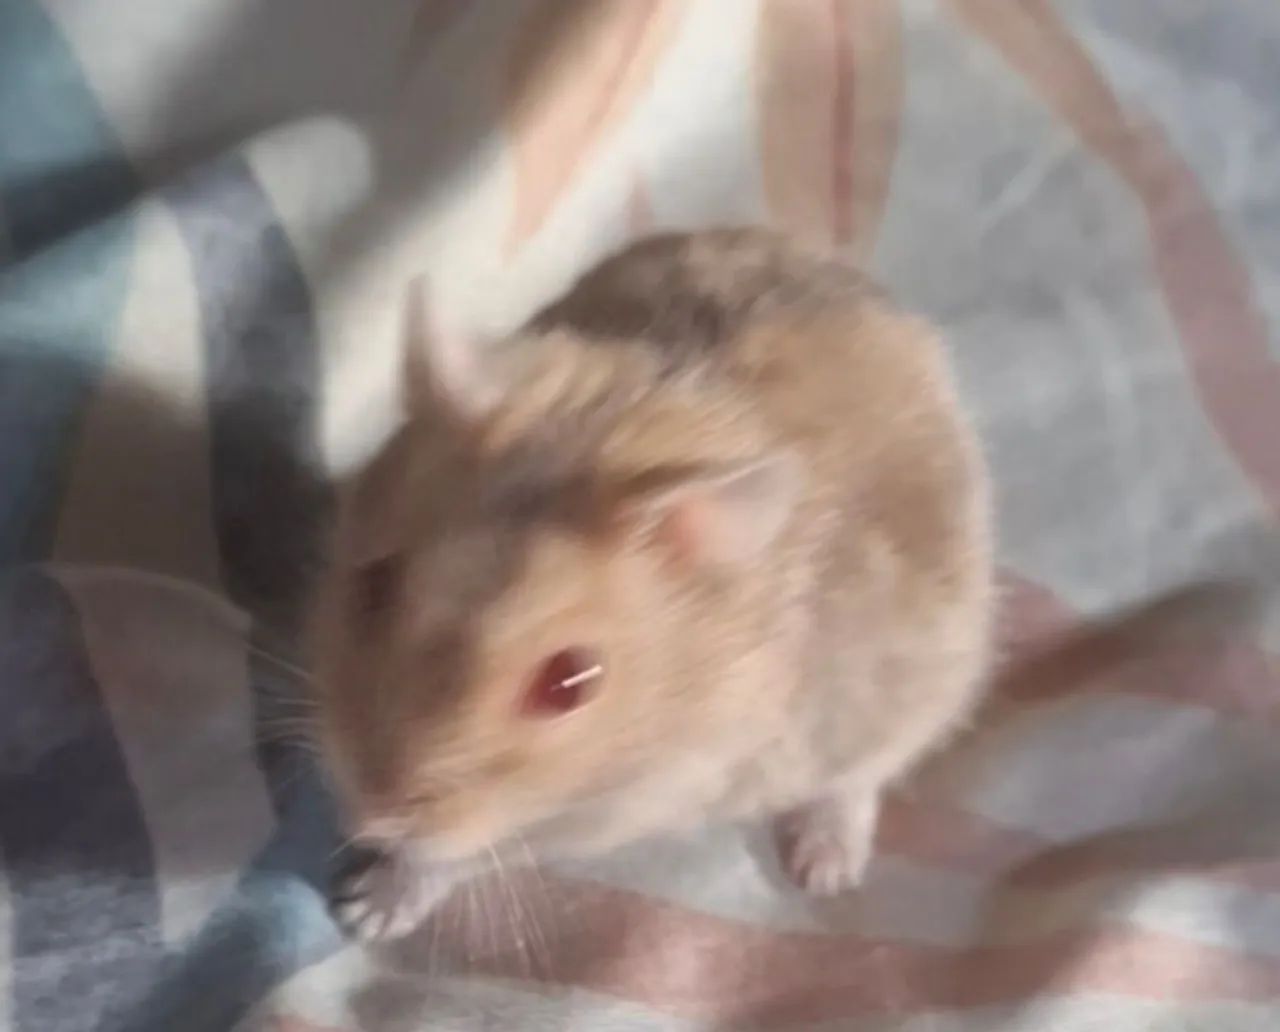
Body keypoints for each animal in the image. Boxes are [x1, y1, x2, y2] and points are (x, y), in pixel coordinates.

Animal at [310, 229, 994, 942]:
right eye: (375, 583)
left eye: (571, 684)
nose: (365, 819)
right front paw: (352, 900)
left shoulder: (614, 807)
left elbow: (455, 858)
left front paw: (360, 912)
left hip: (915, 684)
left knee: (859, 778)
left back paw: (823, 870)